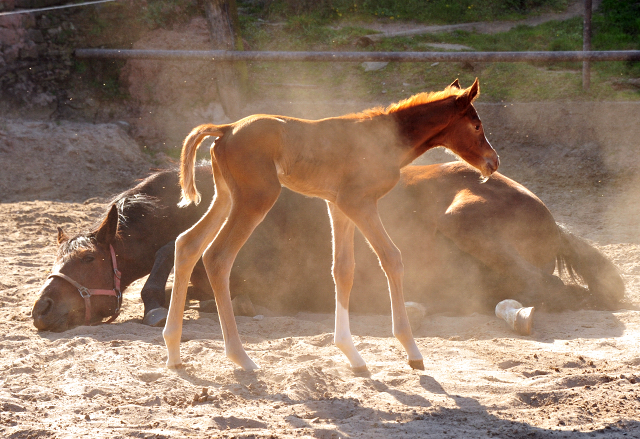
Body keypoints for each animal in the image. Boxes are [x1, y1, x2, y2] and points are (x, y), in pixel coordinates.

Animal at [32, 162, 624, 334]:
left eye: (87, 259)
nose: (40, 308)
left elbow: (171, 254)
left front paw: (156, 302)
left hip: (466, 221)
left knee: (554, 293)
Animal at [161, 78, 500, 372]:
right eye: (477, 125)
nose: (493, 162)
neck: (384, 138)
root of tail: (226, 129)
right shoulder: (358, 202)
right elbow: (391, 258)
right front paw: (412, 351)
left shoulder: (337, 206)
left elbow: (343, 270)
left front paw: (352, 355)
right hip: (255, 199)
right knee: (218, 257)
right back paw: (239, 356)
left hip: (226, 197)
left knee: (187, 244)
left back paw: (174, 352)